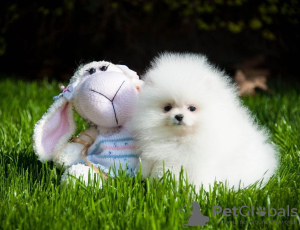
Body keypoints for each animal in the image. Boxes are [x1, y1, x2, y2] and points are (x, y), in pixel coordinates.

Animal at [131, 53, 278, 190]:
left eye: (192, 108)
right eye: (167, 108)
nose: (179, 116)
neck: (181, 139)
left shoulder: (202, 164)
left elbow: (199, 181)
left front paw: (196, 194)